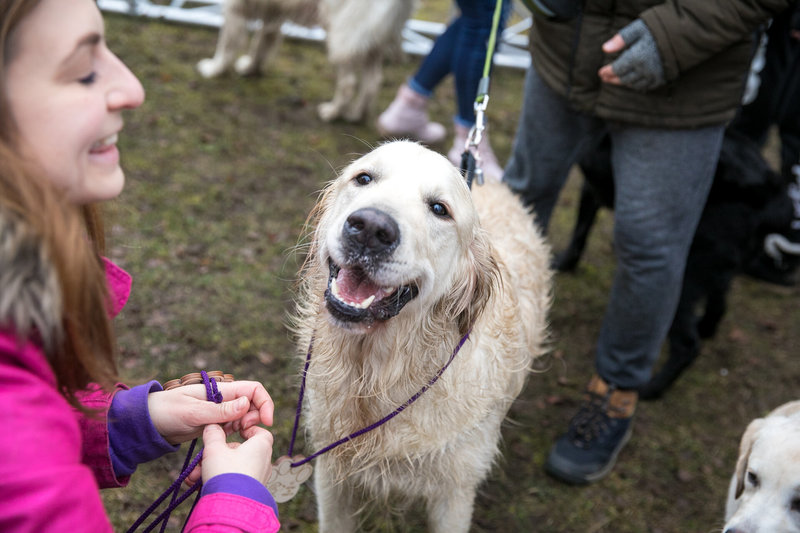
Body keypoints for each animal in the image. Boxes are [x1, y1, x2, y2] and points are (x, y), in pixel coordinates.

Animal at [195, 0, 412, 122]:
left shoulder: (235, 8)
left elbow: (226, 45)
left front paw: (214, 69)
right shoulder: (273, 12)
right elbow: (263, 42)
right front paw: (251, 68)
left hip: (343, 38)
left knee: (349, 84)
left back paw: (332, 113)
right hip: (369, 43)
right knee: (372, 83)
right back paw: (355, 115)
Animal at [290, 139, 552, 528]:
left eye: (439, 209)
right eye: (363, 178)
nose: (370, 229)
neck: (379, 374)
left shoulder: (455, 494)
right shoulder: (331, 472)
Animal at [556, 130, 800, 400]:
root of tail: (773, 196)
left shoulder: (592, 186)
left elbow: (579, 230)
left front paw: (559, 263)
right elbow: (580, 231)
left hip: (683, 280)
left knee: (688, 345)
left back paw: (650, 389)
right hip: (717, 268)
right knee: (719, 306)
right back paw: (705, 327)